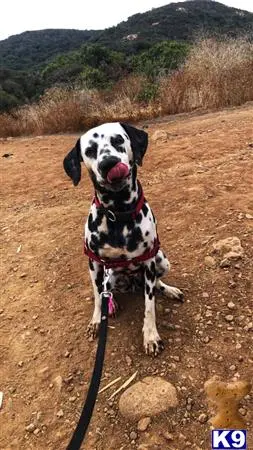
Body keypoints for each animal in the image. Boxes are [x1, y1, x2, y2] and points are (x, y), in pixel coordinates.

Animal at [62, 122, 183, 356]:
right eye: (90, 150)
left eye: (118, 140)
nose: (109, 163)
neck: (118, 213)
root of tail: (132, 283)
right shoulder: (94, 264)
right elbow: (97, 297)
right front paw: (96, 320)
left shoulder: (149, 262)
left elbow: (149, 306)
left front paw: (151, 336)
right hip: (106, 274)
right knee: (105, 292)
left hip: (162, 260)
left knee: (156, 284)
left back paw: (168, 290)